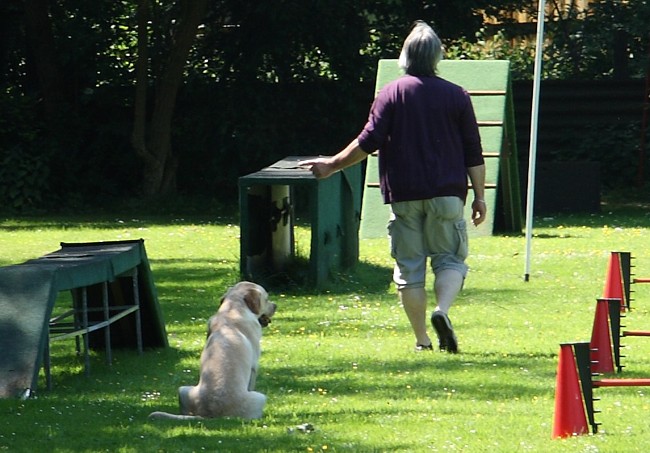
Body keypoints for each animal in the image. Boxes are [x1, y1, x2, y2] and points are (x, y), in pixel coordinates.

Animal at [148, 280, 274, 418]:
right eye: (266, 299)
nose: (275, 305)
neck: (233, 309)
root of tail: (209, 414)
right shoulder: (254, 367)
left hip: (182, 390)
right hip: (260, 397)